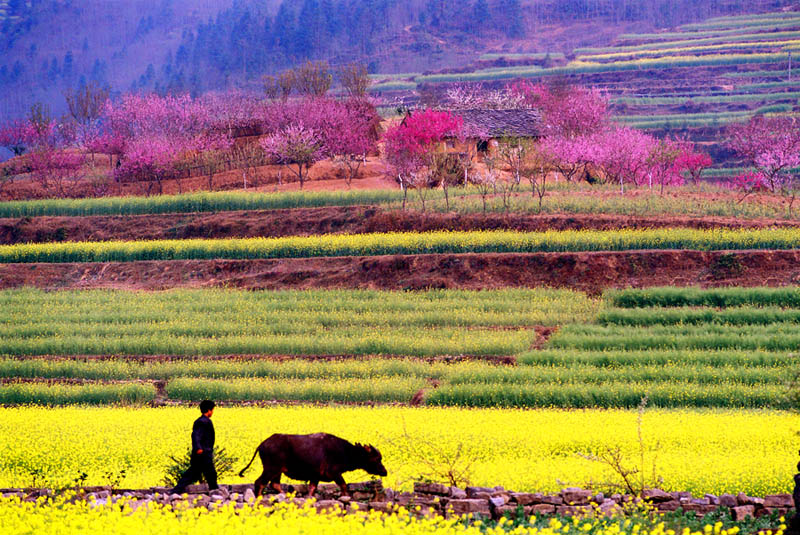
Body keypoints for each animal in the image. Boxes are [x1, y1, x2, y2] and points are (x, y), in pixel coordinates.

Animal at [238, 432, 388, 498]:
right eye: (376, 458)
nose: (385, 472)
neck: (345, 451)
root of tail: (263, 444)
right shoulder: (334, 473)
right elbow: (344, 485)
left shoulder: (315, 476)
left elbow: (312, 489)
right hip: (271, 469)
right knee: (260, 482)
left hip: (277, 471)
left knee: (274, 484)